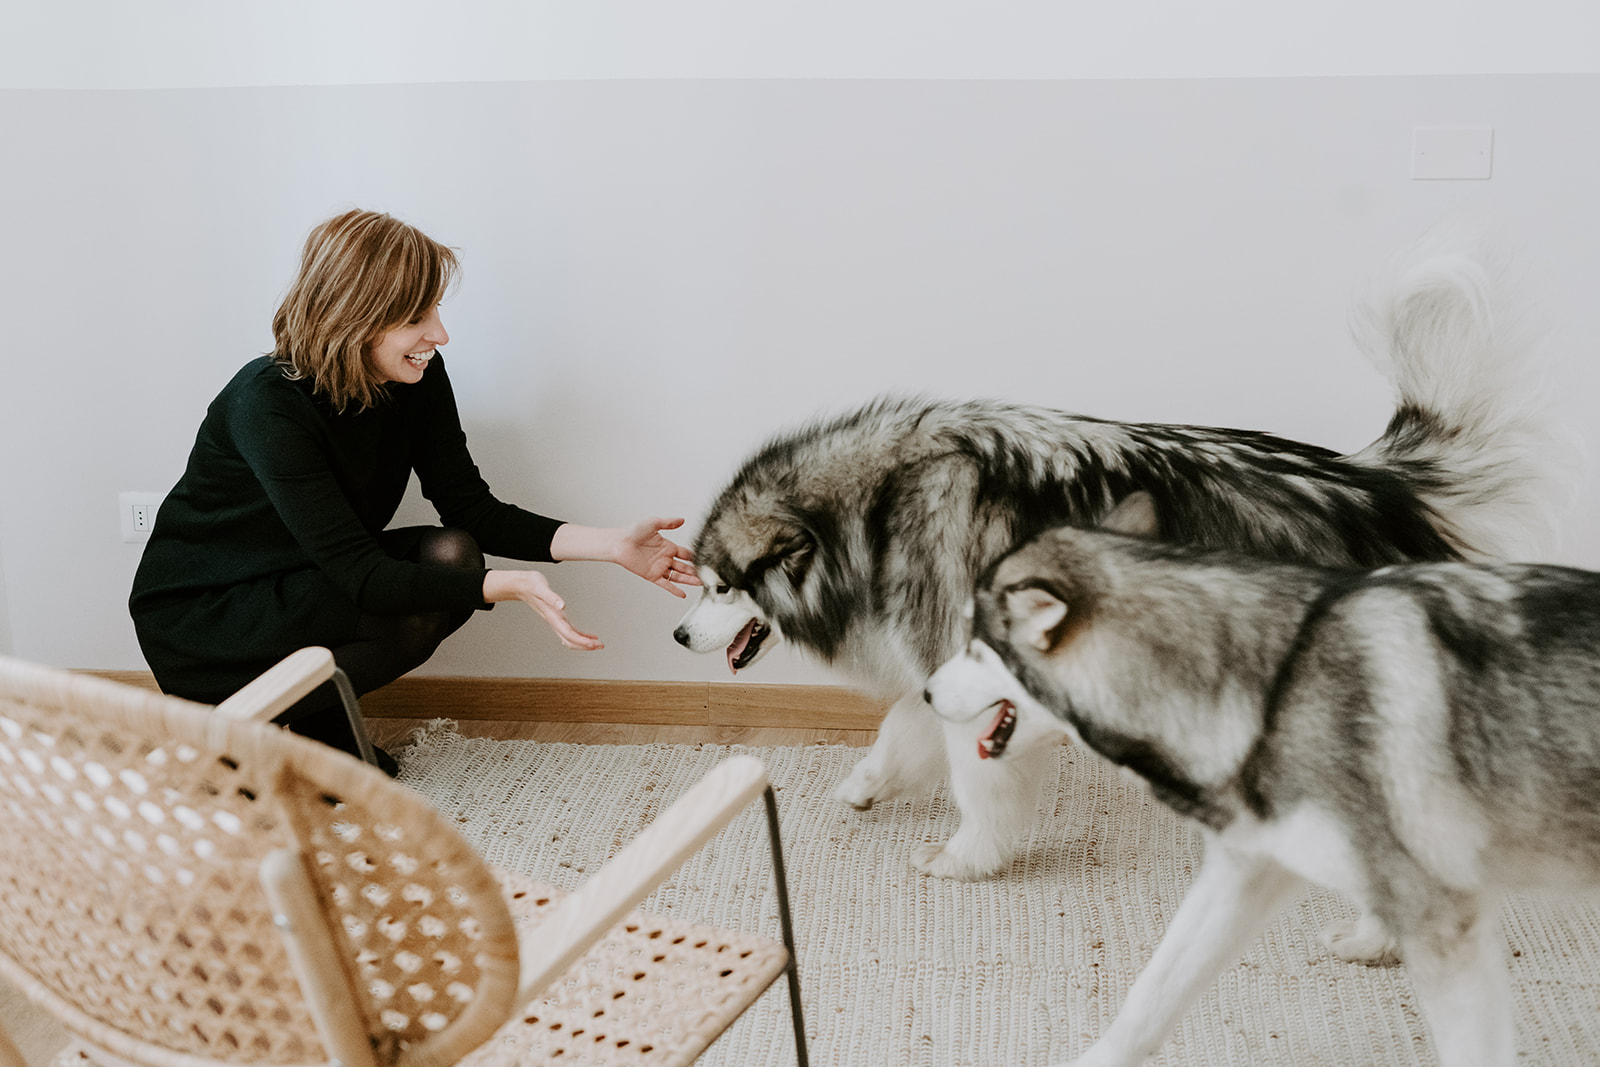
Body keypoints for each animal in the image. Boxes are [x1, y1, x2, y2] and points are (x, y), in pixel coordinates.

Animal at [928, 495, 1600, 1062]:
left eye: (975, 645)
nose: (927, 691)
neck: (1271, 689)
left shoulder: (1444, 922)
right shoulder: (1248, 869)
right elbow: (1151, 995)